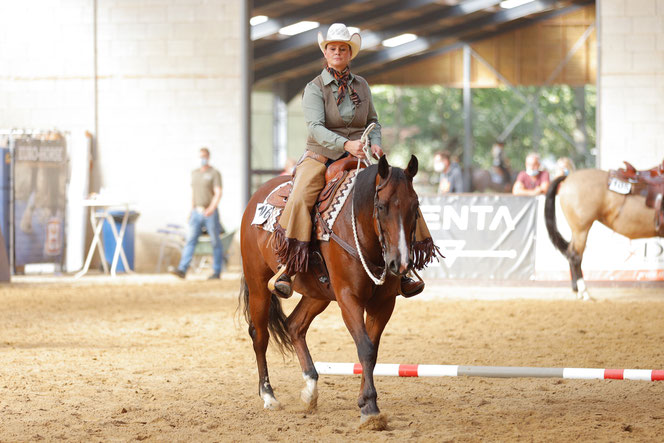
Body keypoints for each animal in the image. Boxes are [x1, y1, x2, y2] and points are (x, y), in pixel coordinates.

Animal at [239, 154, 426, 428]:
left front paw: (364, 401)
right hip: (258, 286)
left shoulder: (383, 304)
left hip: (318, 294)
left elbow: (371, 350)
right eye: (381, 206)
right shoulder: (349, 298)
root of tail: (256, 198)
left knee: (295, 325)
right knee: (259, 336)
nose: (400, 263)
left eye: (415, 206)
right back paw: (268, 395)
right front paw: (370, 407)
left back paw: (310, 390)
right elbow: (365, 347)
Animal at [544, 163, 664, 302]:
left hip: (576, 231)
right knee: (575, 256)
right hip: (581, 229)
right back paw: (584, 292)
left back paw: (577, 291)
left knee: (570, 253)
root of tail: (568, 177)